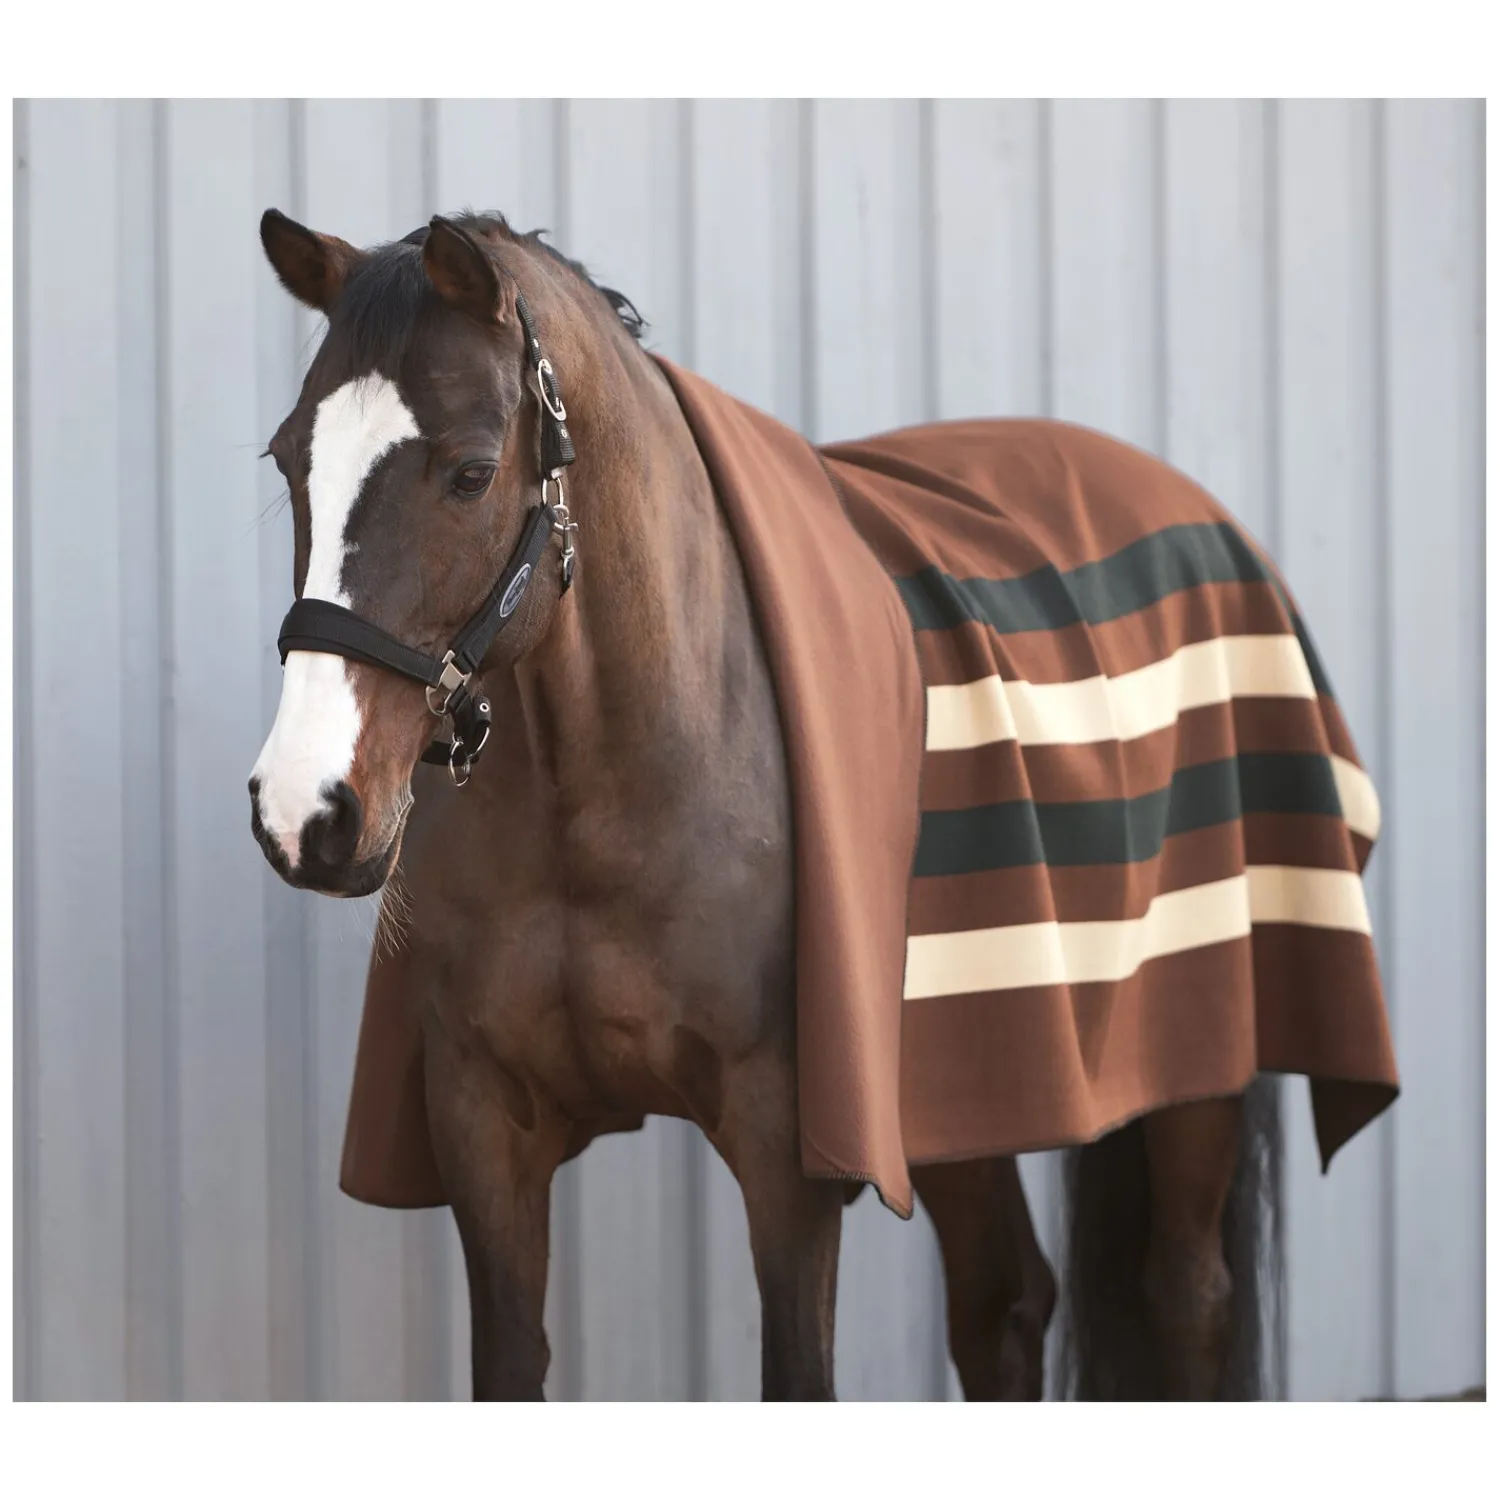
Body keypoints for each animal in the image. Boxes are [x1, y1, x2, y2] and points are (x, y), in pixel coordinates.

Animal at [247, 206, 1374, 1401]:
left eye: (468, 474)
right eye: (290, 460)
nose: (304, 811)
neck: (611, 788)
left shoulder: (788, 1149)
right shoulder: (486, 1133)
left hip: (1197, 1071)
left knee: (1184, 1297)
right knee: (1005, 1304)